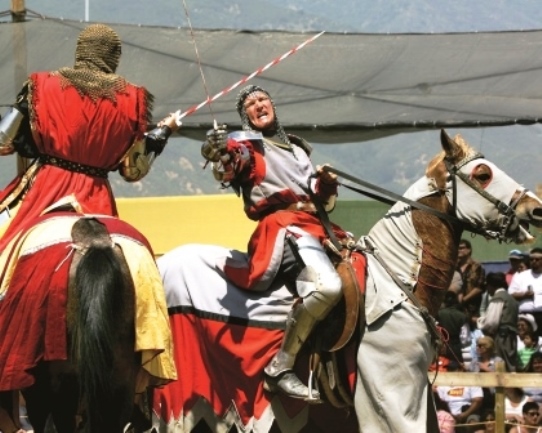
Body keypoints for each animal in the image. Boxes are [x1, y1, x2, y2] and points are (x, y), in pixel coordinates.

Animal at [151, 130, 542, 430]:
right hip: (174, 403)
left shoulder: (410, 393)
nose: (534, 208)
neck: (396, 285)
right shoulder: (390, 395)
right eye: (482, 174)